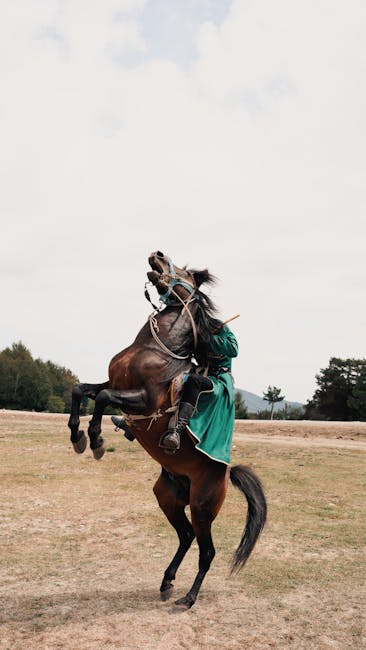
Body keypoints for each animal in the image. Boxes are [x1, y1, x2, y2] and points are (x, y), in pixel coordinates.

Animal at [68, 249, 266, 608]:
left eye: (187, 272)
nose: (156, 254)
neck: (152, 349)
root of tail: (225, 473)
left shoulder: (142, 398)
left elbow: (101, 397)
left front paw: (96, 439)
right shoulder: (114, 384)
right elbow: (81, 389)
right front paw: (77, 435)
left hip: (202, 508)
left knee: (207, 551)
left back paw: (188, 598)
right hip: (168, 498)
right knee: (186, 536)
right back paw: (167, 581)